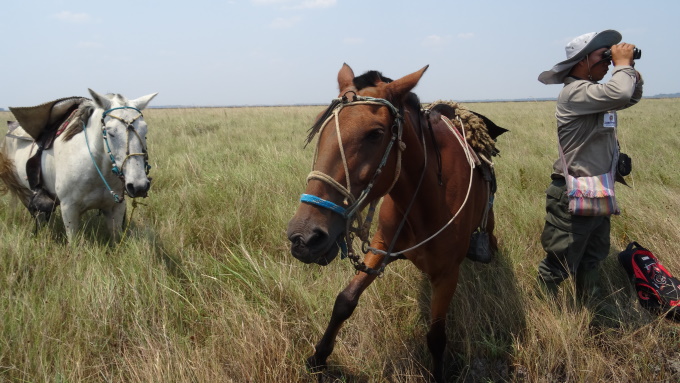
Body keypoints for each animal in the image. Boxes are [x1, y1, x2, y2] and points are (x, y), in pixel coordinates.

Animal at [0, 88, 158, 242]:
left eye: (145, 130)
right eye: (110, 132)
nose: (139, 186)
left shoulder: (116, 208)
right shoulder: (69, 210)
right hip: (26, 193)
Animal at [286, 64, 504, 382]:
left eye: (375, 134)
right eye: (320, 128)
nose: (304, 237)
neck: (426, 201)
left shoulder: (447, 274)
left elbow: (436, 337)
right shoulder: (380, 247)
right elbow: (345, 301)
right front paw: (318, 358)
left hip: (488, 222)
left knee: (491, 237)